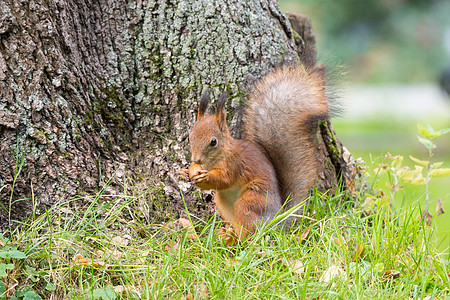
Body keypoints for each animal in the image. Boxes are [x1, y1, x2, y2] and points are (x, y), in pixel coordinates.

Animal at [181, 65, 328, 244]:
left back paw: (242, 243)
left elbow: (224, 180)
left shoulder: (235, 164)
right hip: (222, 202)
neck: (216, 159)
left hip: (252, 201)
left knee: (250, 226)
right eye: (190, 136)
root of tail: (276, 220)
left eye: (213, 141)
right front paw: (183, 173)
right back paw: (229, 236)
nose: (195, 159)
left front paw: (205, 176)